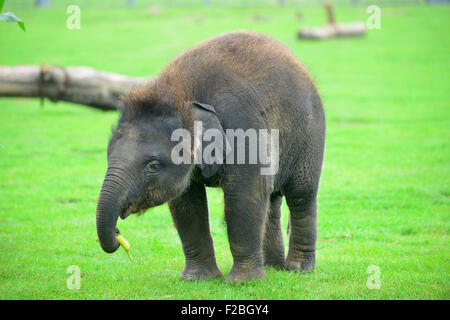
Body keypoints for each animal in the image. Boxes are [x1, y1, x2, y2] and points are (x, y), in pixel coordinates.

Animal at [97, 31, 324, 284]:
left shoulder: (243, 126)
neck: (181, 93)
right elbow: (186, 204)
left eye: (153, 166)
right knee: (272, 199)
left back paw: (298, 269)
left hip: (310, 136)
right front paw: (198, 279)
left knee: (301, 195)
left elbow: (245, 194)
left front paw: (243, 282)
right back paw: (273, 267)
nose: (117, 232)